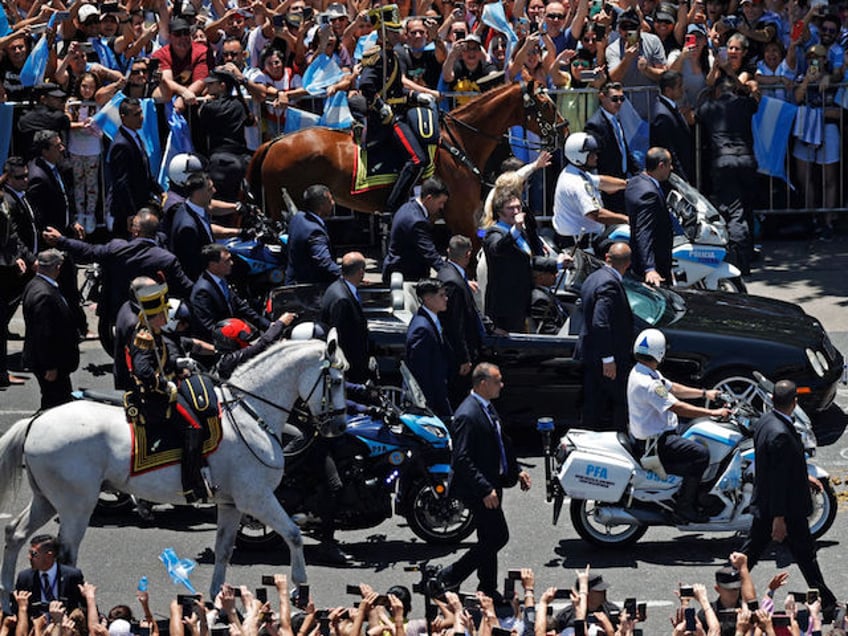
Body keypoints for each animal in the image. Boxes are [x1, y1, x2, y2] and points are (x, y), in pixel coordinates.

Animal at [0, 336, 348, 608]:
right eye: (338, 380)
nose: (339, 427)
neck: (249, 412)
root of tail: (37, 420)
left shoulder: (231, 504)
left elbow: (224, 550)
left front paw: (218, 599)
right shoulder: (257, 498)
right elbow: (294, 534)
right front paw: (300, 589)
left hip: (47, 499)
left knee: (15, 533)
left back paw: (8, 599)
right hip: (76, 505)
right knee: (65, 555)